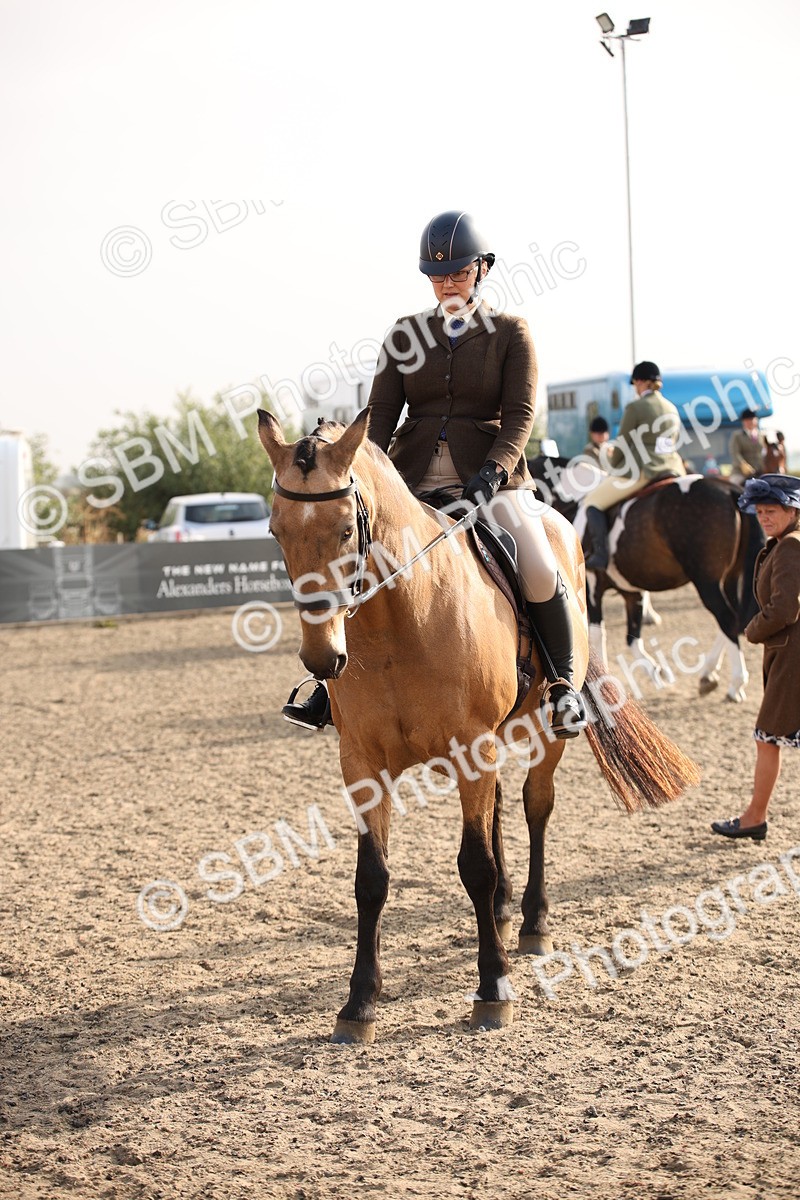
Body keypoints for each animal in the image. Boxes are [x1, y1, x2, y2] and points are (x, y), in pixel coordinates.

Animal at [257, 409, 700, 1044]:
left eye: (345, 531)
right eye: (276, 532)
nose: (323, 658)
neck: (400, 621)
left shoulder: (472, 747)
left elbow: (475, 866)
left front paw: (493, 988)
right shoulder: (362, 763)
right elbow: (372, 878)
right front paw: (359, 1003)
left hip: (541, 729)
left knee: (535, 807)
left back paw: (533, 922)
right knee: (496, 813)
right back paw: (504, 911)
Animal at [529, 455, 765, 702]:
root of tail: (728, 489)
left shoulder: (592, 587)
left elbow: (597, 635)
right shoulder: (633, 592)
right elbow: (633, 639)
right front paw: (657, 673)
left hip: (706, 581)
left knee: (727, 619)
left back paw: (735, 683)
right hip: (730, 578)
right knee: (735, 621)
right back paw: (708, 675)